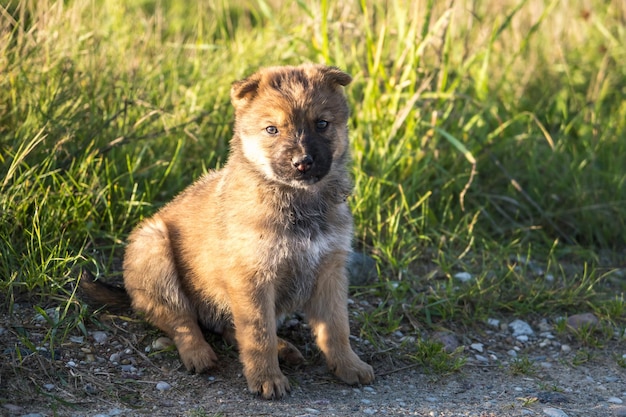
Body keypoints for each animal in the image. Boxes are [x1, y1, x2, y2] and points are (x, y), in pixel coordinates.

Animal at [85, 63, 372, 398]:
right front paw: (267, 379)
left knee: (227, 328)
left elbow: (336, 328)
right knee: (181, 320)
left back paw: (284, 348)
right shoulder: (252, 278)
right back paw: (199, 354)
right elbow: (258, 334)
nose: (302, 162)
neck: (296, 201)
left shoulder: (330, 270)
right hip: (153, 248)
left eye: (322, 124)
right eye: (272, 129)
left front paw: (349, 365)